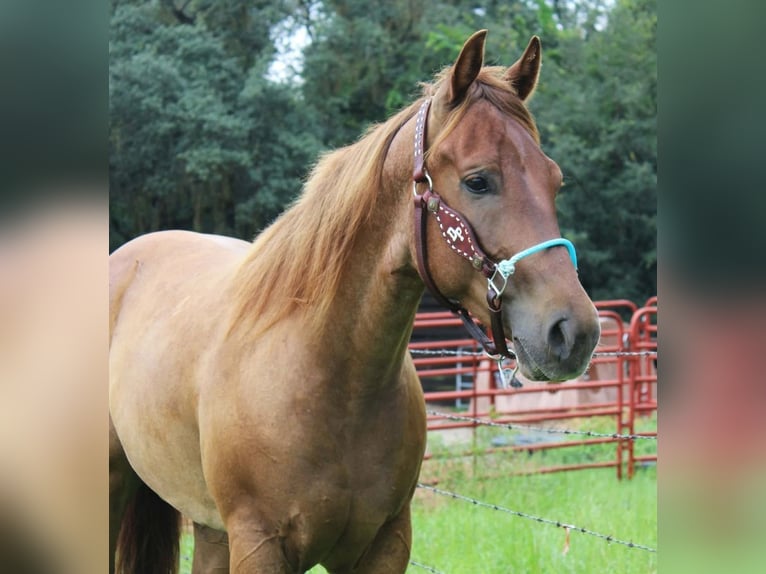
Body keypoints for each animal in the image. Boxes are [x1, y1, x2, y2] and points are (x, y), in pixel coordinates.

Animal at [109, 30, 601, 574]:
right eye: (478, 180)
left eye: (554, 180)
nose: (574, 331)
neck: (332, 379)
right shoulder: (259, 544)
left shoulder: (385, 543)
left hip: (211, 527)